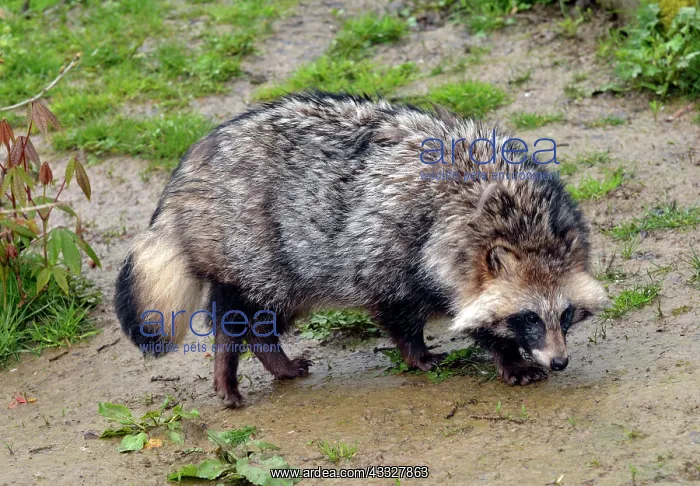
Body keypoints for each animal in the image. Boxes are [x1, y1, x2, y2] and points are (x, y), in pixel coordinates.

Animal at [115, 92, 609, 407]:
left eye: (565, 314)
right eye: (528, 317)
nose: (560, 361)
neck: (513, 210)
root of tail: (192, 165)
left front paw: (504, 350)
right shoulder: (392, 247)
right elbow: (401, 313)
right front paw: (451, 352)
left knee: (265, 317)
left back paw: (272, 357)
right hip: (256, 246)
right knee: (239, 313)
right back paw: (229, 364)